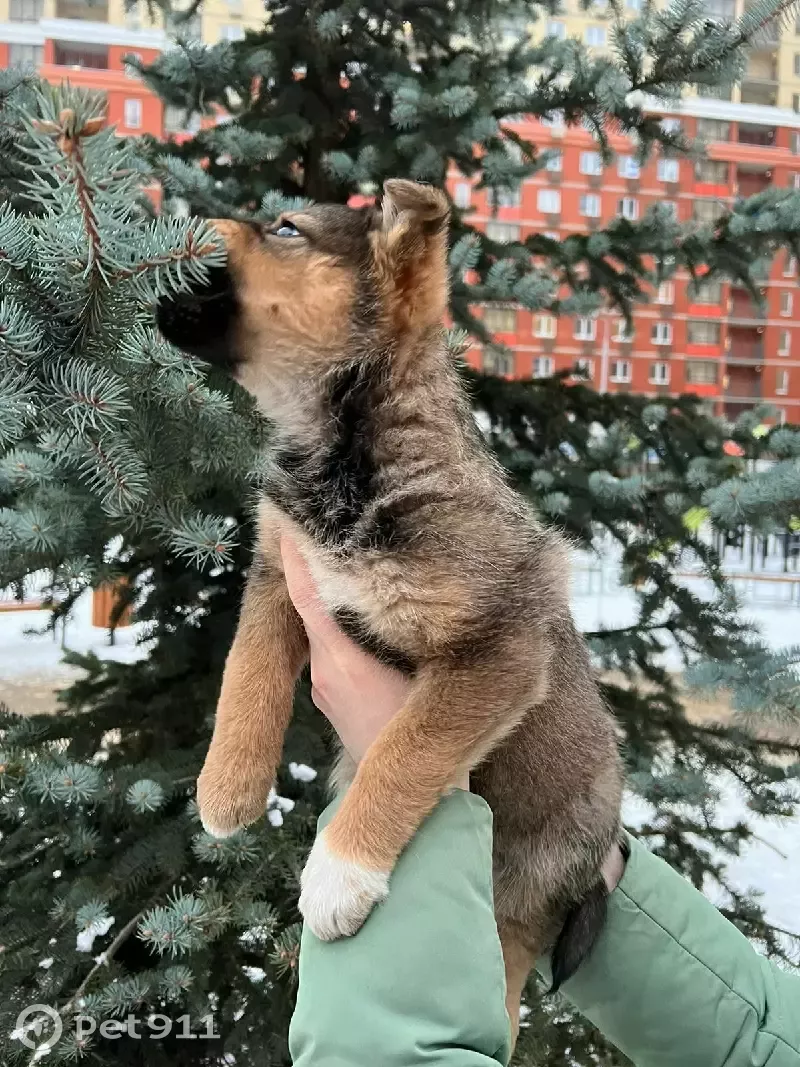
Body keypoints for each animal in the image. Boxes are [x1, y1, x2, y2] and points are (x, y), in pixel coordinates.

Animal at [154, 181, 618, 1032]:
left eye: (285, 228)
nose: (172, 218)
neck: (343, 460)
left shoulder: (497, 649)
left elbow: (405, 752)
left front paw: (338, 873)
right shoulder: (280, 571)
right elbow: (246, 674)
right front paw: (225, 790)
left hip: (521, 904)